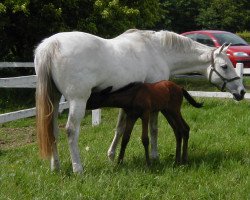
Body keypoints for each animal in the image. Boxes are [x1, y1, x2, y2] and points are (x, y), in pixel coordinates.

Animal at [34, 28, 245, 173]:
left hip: (54, 100)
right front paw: (154, 155)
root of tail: (50, 45)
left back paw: (56, 166)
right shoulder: (153, 103)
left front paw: (112, 156)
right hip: (78, 101)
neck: (158, 51)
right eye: (224, 66)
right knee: (70, 131)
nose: (241, 92)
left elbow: (120, 129)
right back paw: (78, 168)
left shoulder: (126, 102)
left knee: (52, 131)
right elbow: (153, 129)